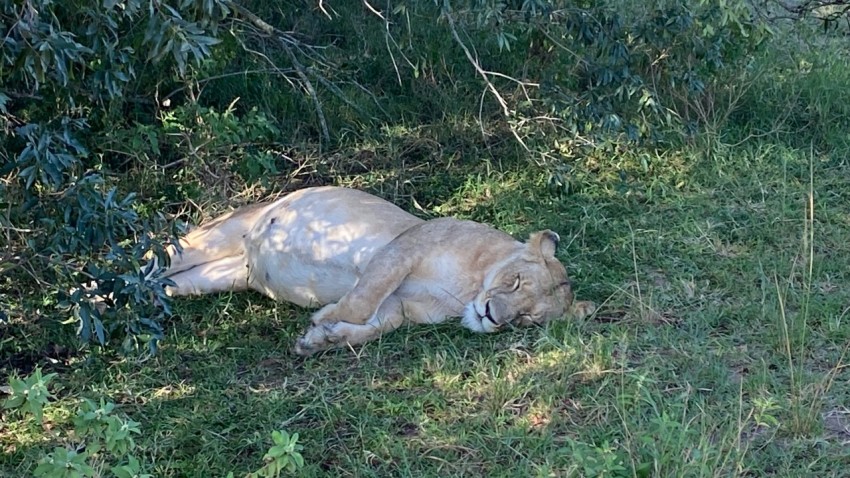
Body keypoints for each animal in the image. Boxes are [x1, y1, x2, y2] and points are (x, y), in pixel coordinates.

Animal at [161, 186, 594, 355]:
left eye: (527, 319)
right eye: (515, 281)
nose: (492, 317)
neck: (467, 290)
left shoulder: (400, 306)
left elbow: (379, 324)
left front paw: (321, 339)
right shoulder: (401, 249)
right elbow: (362, 299)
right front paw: (324, 319)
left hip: (219, 276)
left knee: (170, 285)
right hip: (219, 233)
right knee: (160, 255)